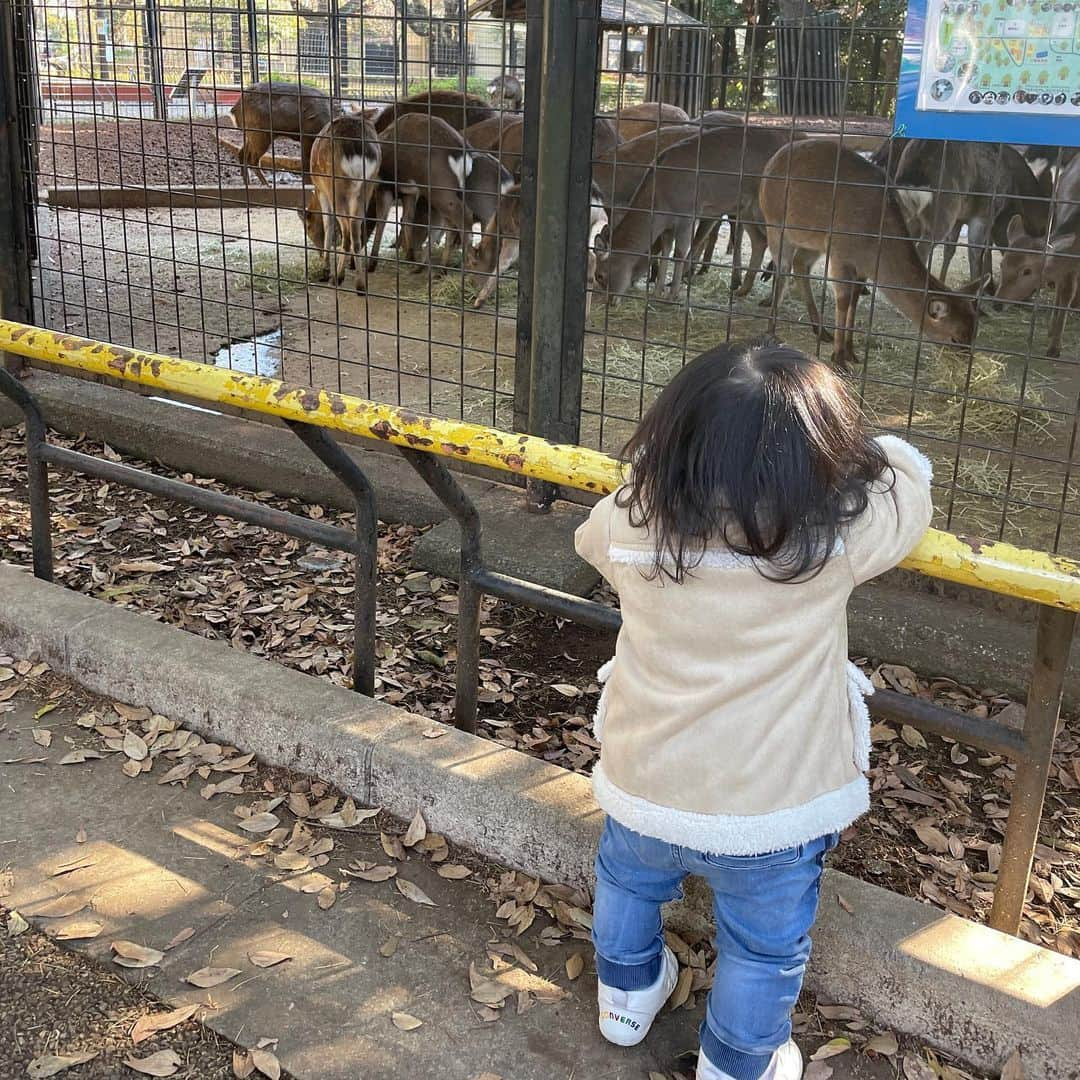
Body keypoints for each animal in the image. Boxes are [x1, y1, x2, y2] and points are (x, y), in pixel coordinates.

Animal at [300, 112, 384, 295]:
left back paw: (337, 278)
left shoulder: (322, 191)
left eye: (307, 228)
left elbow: (328, 225)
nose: (318, 254)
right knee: (357, 231)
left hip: (337, 188)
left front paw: (325, 269)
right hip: (367, 186)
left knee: (347, 232)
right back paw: (360, 285)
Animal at [600, 126, 794, 304]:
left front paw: (672, 294)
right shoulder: (668, 225)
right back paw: (742, 290)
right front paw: (657, 292)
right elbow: (666, 251)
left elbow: (680, 251)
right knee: (760, 241)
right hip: (747, 209)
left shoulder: (687, 214)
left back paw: (771, 297)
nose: (609, 301)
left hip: (768, 210)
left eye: (600, 275)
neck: (660, 199)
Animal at [760, 141, 989, 369]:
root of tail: (773, 161)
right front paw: (839, 358)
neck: (874, 240)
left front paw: (851, 351)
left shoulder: (861, 267)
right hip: (776, 224)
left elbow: (854, 299)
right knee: (783, 270)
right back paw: (771, 331)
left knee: (800, 265)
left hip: (812, 240)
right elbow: (843, 300)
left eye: (974, 332)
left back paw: (821, 330)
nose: (967, 361)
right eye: (955, 338)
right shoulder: (840, 254)